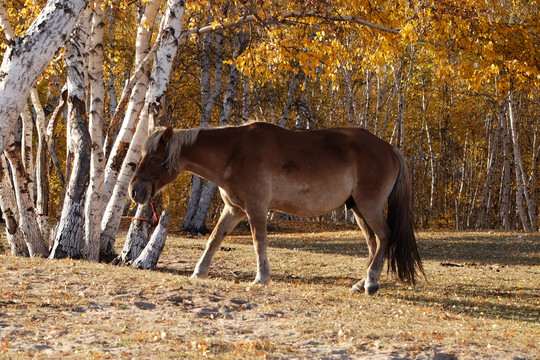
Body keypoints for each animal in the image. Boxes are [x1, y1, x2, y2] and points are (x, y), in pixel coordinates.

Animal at [129, 122, 424, 294]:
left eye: (154, 157)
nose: (135, 191)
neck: (234, 152)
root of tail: (389, 148)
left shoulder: (255, 208)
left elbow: (259, 241)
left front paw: (261, 278)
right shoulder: (234, 210)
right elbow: (214, 239)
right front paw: (199, 273)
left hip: (368, 207)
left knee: (384, 236)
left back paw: (372, 282)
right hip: (358, 210)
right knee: (374, 243)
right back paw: (363, 282)